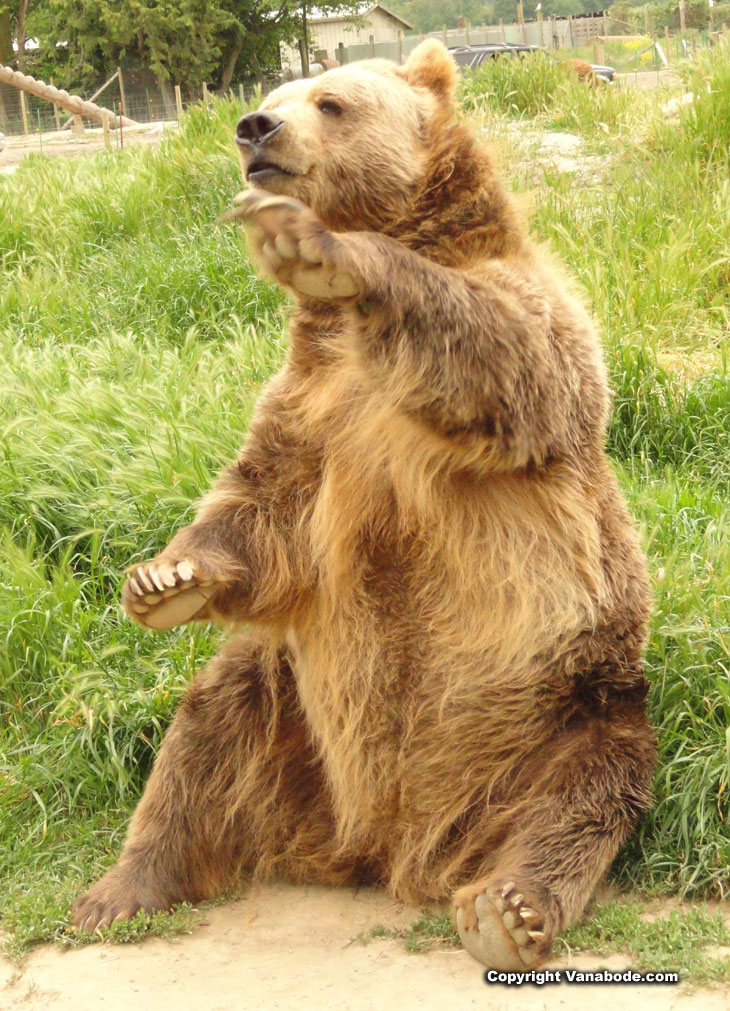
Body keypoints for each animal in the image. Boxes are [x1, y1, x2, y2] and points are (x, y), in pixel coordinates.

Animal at [71, 40, 656, 972]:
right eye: (272, 93)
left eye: (332, 101)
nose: (255, 128)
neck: (350, 340)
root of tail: (383, 844)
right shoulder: (311, 407)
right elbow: (261, 504)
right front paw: (165, 578)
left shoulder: (531, 335)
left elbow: (496, 351)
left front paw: (317, 245)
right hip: (286, 703)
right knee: (201, 739)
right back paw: (119, 887)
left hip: (571, 697)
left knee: (580, 796)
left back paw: (510, 905)